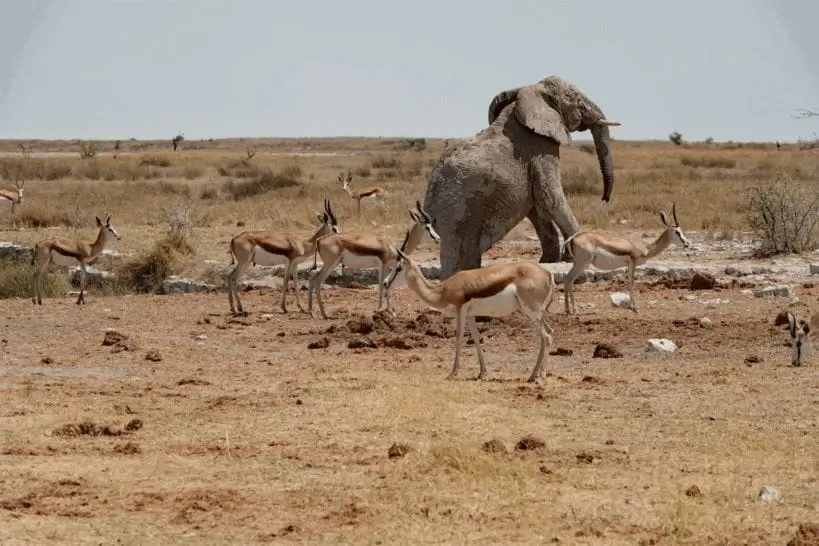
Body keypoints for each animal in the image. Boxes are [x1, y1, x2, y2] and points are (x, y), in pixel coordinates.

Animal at [426, 75, 620, 278]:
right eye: (575, 98)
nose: (604, 199)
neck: (529, 92)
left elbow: (537, 206)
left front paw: (550, 261)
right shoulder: (541, 148)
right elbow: (550, 197)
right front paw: (576, 258)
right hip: (463, 215)